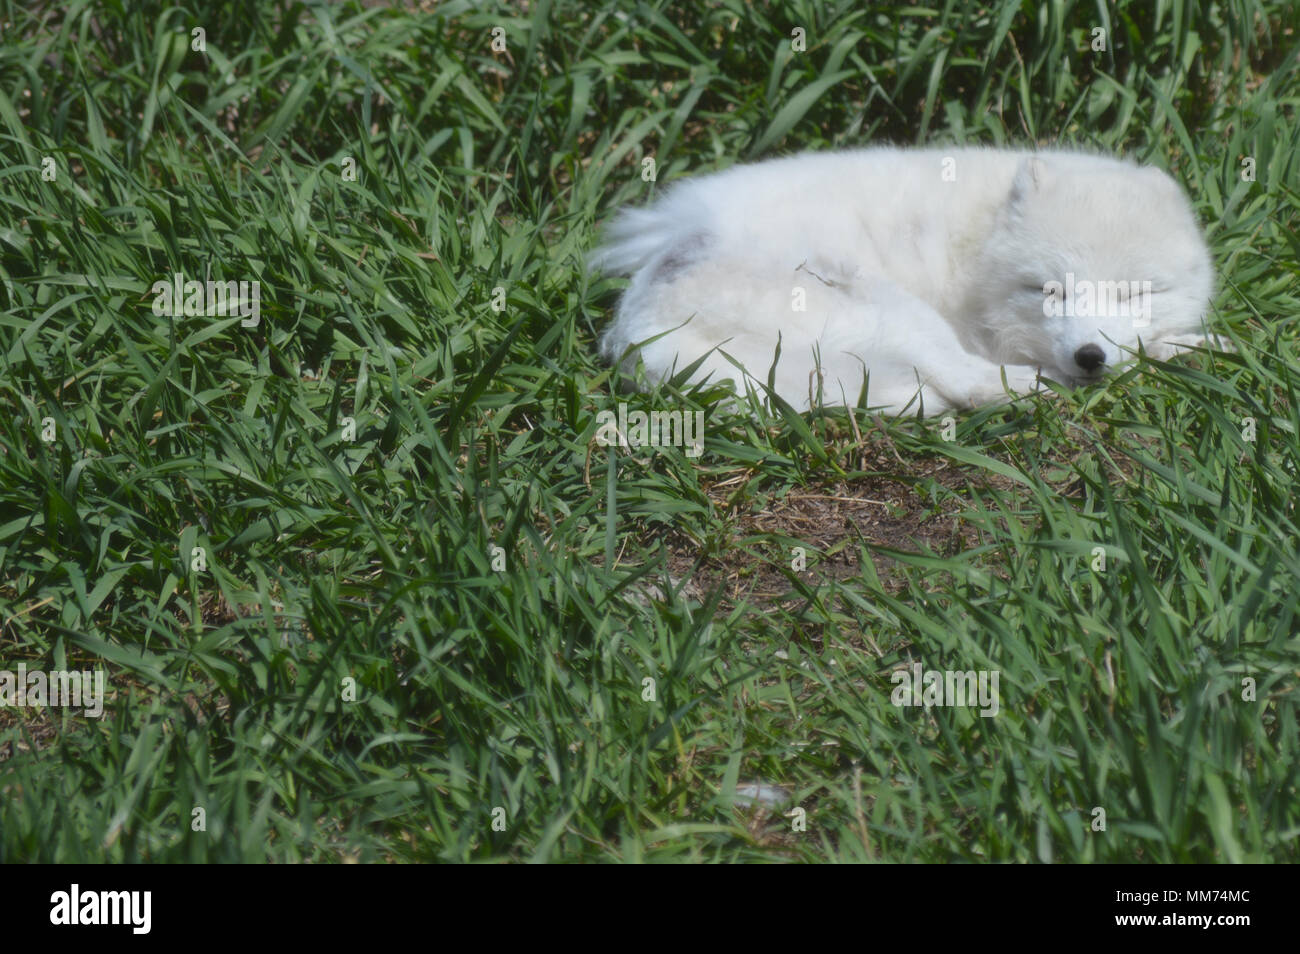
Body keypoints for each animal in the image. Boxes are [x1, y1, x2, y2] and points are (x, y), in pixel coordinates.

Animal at [590, 147, 1216, 415]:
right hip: (893, 309)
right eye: (1049, 291)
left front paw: (1190, 343)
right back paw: (1031, 387)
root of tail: (633, 331)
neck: (981, 238)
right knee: (965, 383)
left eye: (1136, 293)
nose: (1089, 356)